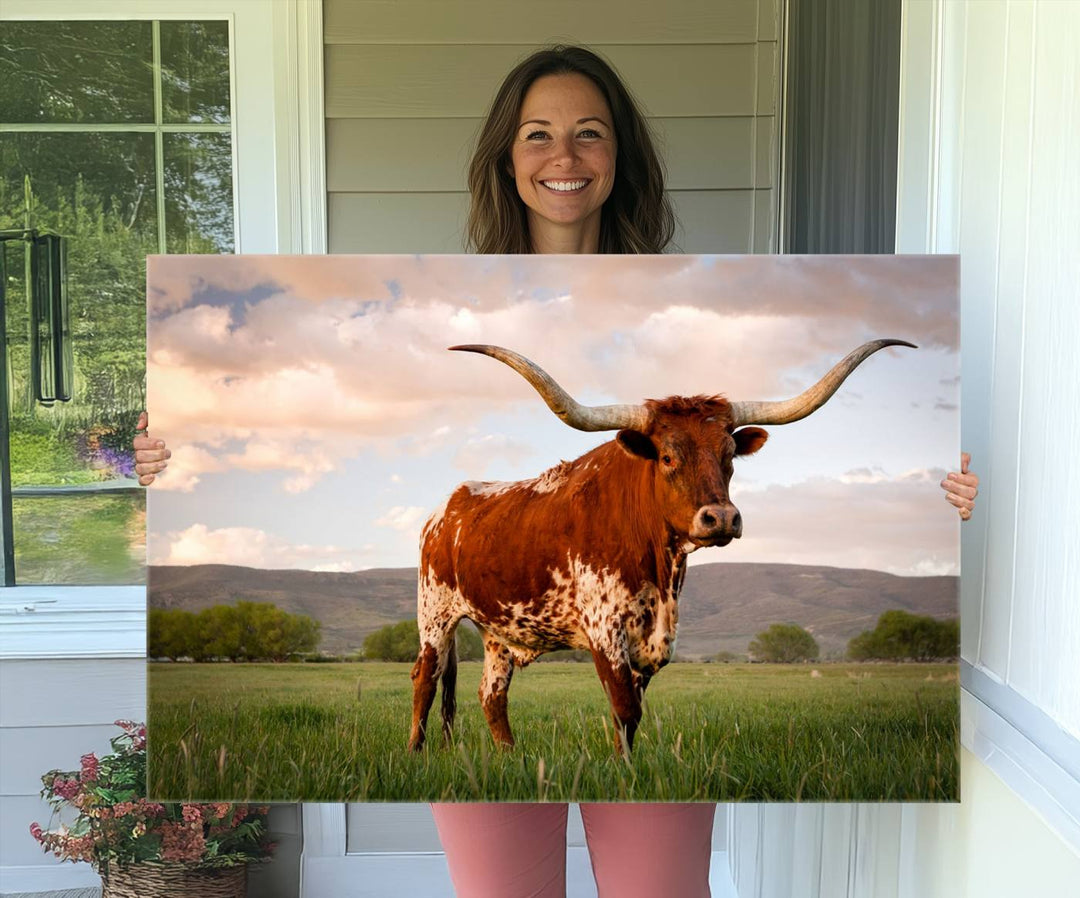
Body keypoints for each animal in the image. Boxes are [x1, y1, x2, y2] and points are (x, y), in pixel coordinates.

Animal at [406, 341, 911, 756]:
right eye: (667, 457)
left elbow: (631, 716)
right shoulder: (604, 629)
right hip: (435, 615)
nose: (721, 518)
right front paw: (623, 773)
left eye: (729, 455)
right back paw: (415, 753)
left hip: (499, 632)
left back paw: (510, 756)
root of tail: (446, 508)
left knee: (491, 695)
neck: (659, 567)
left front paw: (623, 764)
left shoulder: (655, 639)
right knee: (424, 680)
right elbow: (624, 707)